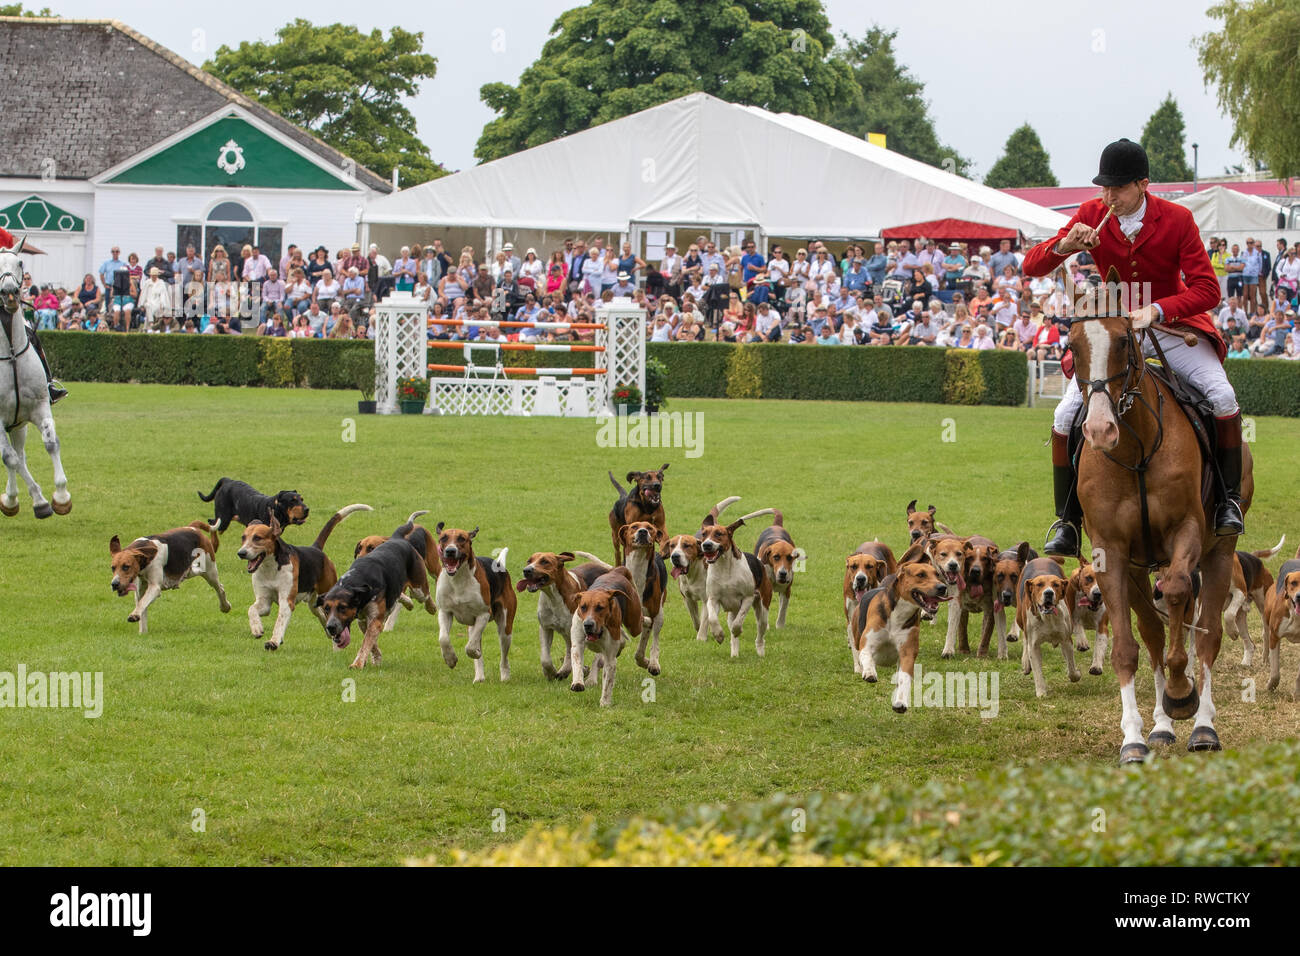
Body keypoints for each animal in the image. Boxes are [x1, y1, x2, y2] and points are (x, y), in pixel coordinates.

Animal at [1066, 299, 1248, 764]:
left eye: (1123, 341)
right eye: (1072, 347)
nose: (1099, 431)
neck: (1135, 451)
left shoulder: (1187, 533)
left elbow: (1183, 600)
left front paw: (1183, 693)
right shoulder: (1111, 554)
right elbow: (1128, 648)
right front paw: (1133, 738)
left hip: (1219, 553)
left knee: (1207, 633)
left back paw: (1202, 725)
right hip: (1136, 569)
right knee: (1152, 633)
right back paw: (1162, 727)